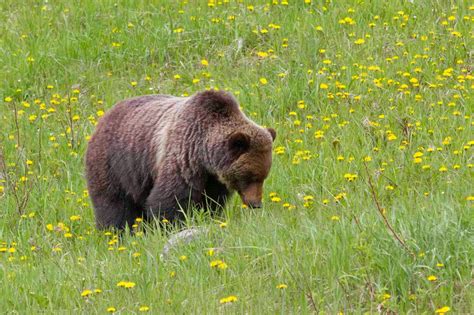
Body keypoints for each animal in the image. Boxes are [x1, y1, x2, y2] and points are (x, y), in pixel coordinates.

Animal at [85, 90, 276, 230]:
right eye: (250, 176)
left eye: (264, 176)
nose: (255, 204)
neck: (204, 157)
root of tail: (102, 119)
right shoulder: (183, 157)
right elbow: (171, 198)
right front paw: (170, 225)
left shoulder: (213, 178)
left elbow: (211, 201)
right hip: (115, 164)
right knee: (114, 203)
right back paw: (117, 231)